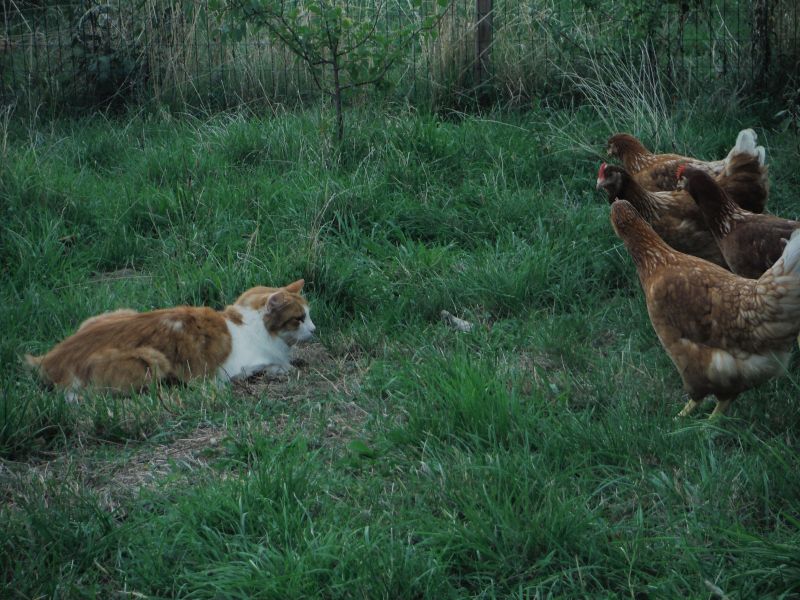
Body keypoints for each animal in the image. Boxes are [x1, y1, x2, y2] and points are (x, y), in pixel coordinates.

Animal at [22, 278, 316, 400]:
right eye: (300, 318)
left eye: (308, 316)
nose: (314, 329)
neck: (246, 323)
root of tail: (50, 359)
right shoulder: (234, 369)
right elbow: (277, 366)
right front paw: (285, 367)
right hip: (151, 361)